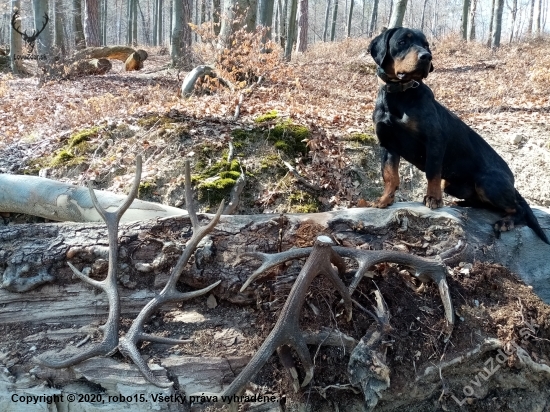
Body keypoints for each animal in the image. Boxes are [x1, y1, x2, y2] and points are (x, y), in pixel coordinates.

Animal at [368, 27, 548, 245]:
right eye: (402, 42)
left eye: (426, 45)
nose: (426, 57)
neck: (399, 95)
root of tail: (512, 183)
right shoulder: (388, 144)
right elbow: (389, 175)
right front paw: (384, 200)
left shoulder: (435, 140)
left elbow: (432, 172)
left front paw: (433, 199)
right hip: (452, 184)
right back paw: (461, 204)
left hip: (487, 182)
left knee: (518, 208)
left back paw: (507, 221)